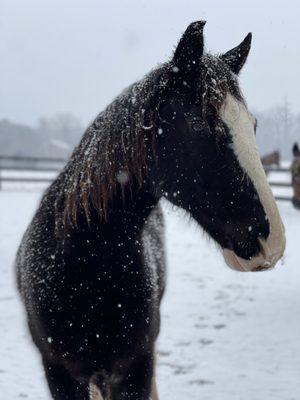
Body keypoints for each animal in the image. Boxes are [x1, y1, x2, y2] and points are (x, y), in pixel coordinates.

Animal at [16, 22, 286, 400]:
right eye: (199, 125)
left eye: (254, 125)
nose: (272, 242)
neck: (84, 265)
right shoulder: (60, 374)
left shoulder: (136, 369)